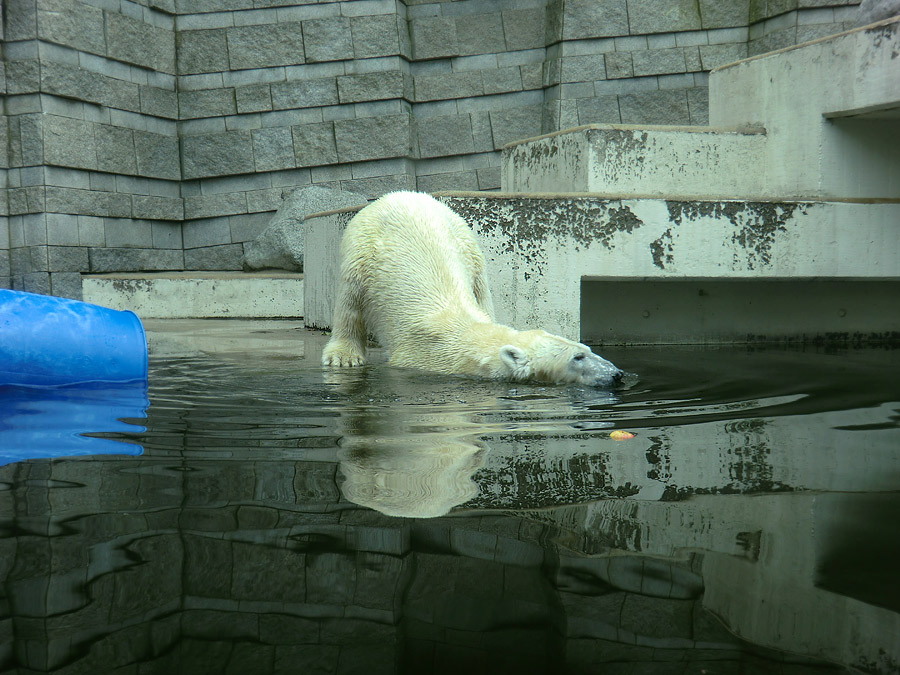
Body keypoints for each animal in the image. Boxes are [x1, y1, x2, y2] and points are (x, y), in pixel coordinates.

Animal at [320, 193, 624, 388]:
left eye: (586, 348)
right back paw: (344, 356)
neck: (464, 333)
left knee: (481, 284)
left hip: (464, 236)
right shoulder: (419, 358)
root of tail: (397, 194)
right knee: (349, 297)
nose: (616, 374)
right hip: (362, 248)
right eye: (577, 357)